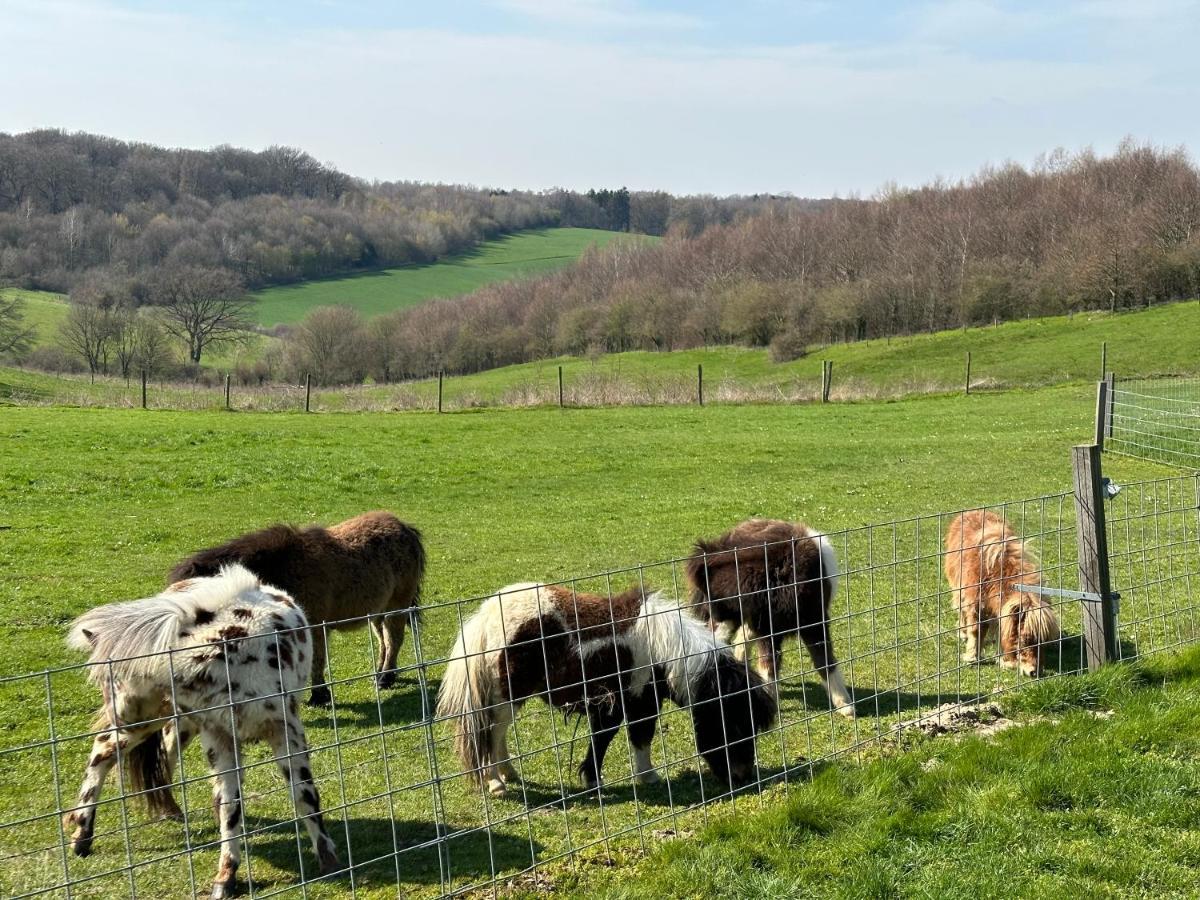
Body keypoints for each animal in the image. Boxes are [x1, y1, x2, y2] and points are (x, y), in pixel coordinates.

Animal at [63, 566, 340, 897]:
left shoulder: (285, 728)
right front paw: (226, 877)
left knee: (144, 749)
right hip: (157, 720)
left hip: (169, 721)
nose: (117, 712)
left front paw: (329, 859)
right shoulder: (218, 736)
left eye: (113, 677)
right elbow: (230, 804)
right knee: (105, 751)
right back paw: (83, 833)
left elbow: (304, 793)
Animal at [170, 511, 427, 710]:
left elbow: (316, 660)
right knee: (383, 640)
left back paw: (385, 678)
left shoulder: (314, 626)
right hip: (377, 611)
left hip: (397, 606)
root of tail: (406, 528)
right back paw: (381, 672)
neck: (282, 570)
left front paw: (319, 696)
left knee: (393, 639)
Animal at [439, 588, 777, 801]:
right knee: (492, 733)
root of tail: (487, 616)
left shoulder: (613, 705)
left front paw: (594, 778)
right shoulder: (636, 702)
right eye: (734, 724)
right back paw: (496, 783)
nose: (742, 777)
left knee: (498, 733)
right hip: (507, 696)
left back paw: (509, 774)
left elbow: (605, 739)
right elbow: (636, 736)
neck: (663, 649)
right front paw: (644, 777)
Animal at [686, 520, 854, 720]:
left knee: (740, 640)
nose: (712, 613)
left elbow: (825, 661)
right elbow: (768, 665)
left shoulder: (813, 622)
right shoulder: (766, 628)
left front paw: (845, 706)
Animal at [945, 511, 1060, 681]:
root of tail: (972, 511)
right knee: (960, 609)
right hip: (958, 588)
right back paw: (963, 633)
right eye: (1024, 639)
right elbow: (976, 630)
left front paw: (1005, 661)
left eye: (1043, 641)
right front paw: (972, 657)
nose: (1034, 672)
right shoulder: (975, 604)